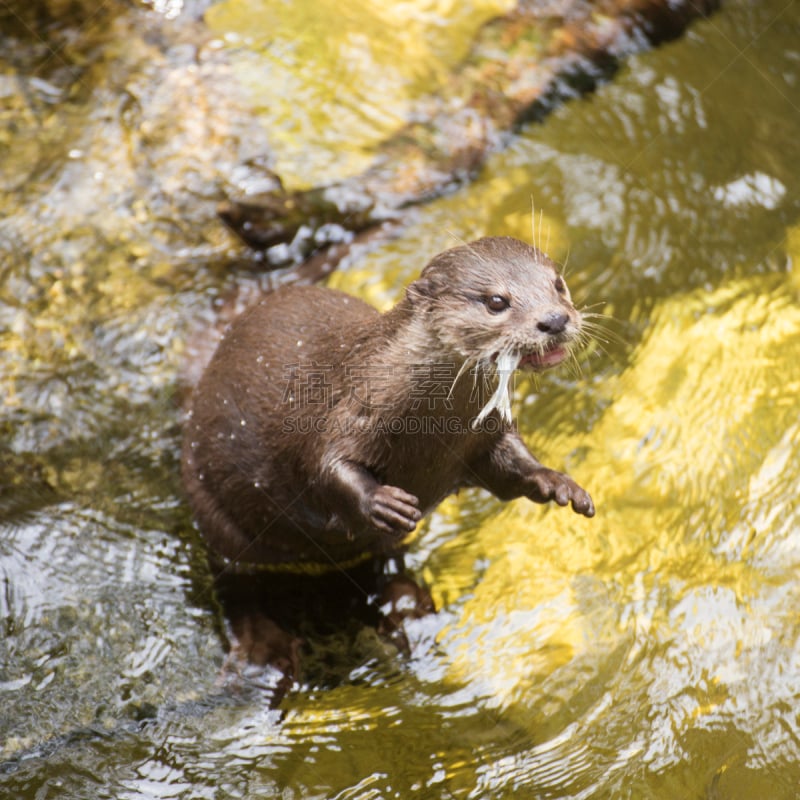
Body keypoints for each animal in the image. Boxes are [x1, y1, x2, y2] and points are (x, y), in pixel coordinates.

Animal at [181, 234, 592, 572]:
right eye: (496, 301)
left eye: (558, 284)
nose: (555, 319)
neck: (432, 430)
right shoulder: (350, 407)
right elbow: (325, 464)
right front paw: (380, 501)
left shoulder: (481, 434)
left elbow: (509, 467)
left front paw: (555, 481)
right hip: (212, 509)